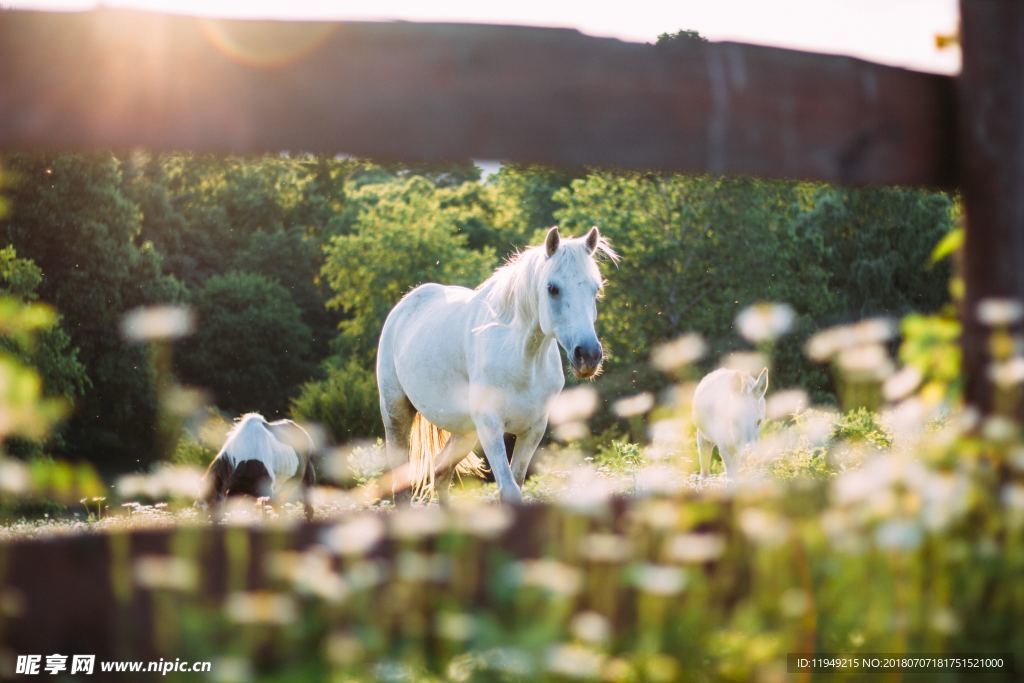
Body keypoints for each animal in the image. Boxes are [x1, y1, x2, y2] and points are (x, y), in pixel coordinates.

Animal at [376, 225, 614, 501]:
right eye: (552, 288)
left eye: (595, 289)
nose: (588, 355)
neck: (522, 361)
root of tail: (404, 305)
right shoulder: (491, 426)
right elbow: (509, 490)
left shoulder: (533, 430)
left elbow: (517, 482)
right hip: (396, 414)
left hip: (465, 431)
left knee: (441, 473)